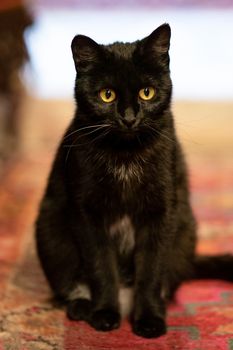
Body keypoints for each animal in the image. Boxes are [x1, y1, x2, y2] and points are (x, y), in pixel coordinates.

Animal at [35, 22, 233, 340]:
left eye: (147, 92)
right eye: (107, 95)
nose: (128, 117)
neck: (125, 155)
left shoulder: (162, 211)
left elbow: (151, 269)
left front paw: (150, 320)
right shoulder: (87, 211)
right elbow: (101, 265)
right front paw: (104, 314)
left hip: (186, 229)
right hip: (50, 229)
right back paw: (82, 308)